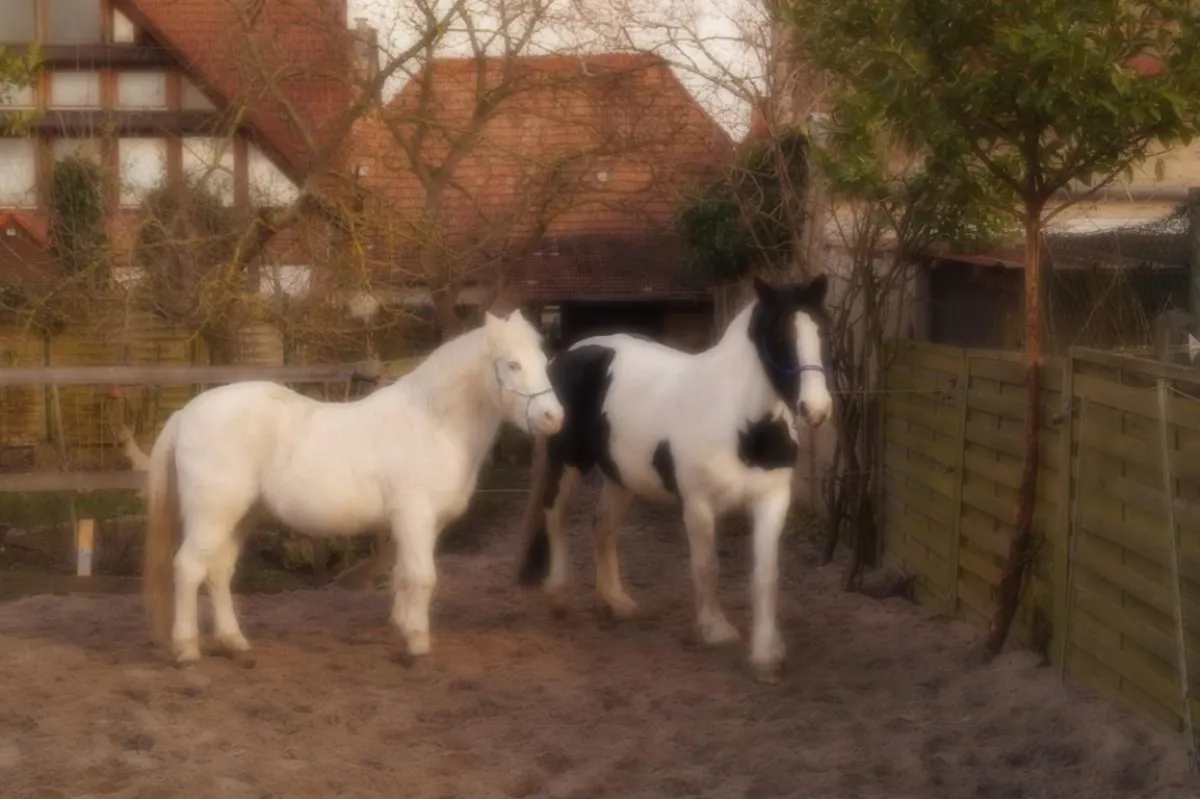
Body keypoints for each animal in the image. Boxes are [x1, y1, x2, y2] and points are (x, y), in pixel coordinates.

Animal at [142, 310, 564, 665]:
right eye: (512, 364)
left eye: (544, 362)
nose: (553, 418)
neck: (432, 422)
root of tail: (185, 414)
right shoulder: (415, 517)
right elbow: (422, 576)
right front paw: (417, 644)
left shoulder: (421, 525)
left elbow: (403, 574)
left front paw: (402, 627)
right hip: (213, 514)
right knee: (189, 568)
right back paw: (186, 650)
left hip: (241, 515)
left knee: (218, 571)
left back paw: (234, 643)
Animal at [515, 276, 833, 683]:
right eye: (778, 335)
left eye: (821, 330)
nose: (816, 410)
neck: (740, 423)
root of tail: (568, 355)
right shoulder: (698, 505)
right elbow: (707, 566)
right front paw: (715, 630)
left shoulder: (771, 500)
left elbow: (766, 575)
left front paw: (766, 655)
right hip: (567, 462)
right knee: (554, 516)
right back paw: (557, 595)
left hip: (621, 477)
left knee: (603, 526)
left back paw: (616, 602)